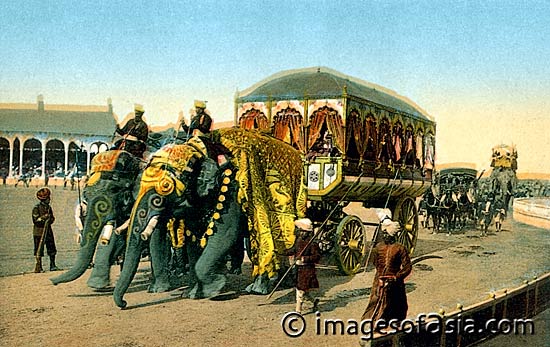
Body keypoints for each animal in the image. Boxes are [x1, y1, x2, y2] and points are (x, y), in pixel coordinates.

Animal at [113, 129, 308, 308]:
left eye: (158, 197)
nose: (124, 303)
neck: (201, 151)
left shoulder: (231, 192)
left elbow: (224, 235)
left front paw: (216, 287)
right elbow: (194, 242)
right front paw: (192, 294)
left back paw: (257, 289)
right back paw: (278, 281)